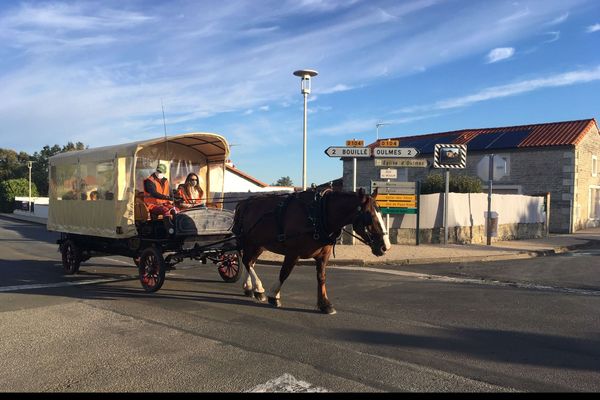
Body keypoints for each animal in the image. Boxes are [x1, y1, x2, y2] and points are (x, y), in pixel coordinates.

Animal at [232, 188, 392, 316]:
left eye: (380, 212)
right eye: (369, 215)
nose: (386, 247)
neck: (318, 214)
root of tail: (243, 203)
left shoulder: (323, 255)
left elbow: (321, 277)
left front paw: (325, 304)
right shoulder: (293, 253)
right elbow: (284, 273)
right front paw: (274, 295)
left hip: (259, 245)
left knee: (250, 262)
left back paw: (249, 288)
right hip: (250, 242)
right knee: (247, 261)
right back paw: (258, 288)